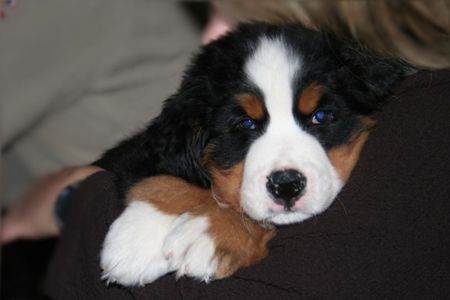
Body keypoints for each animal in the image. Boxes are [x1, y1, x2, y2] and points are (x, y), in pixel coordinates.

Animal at [96, 22, 410, 286]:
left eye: (321, 116)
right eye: (245, 124)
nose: (287, 185)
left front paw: (209, 234)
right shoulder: (135, 151)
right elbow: (166, 177)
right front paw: (138, 238)